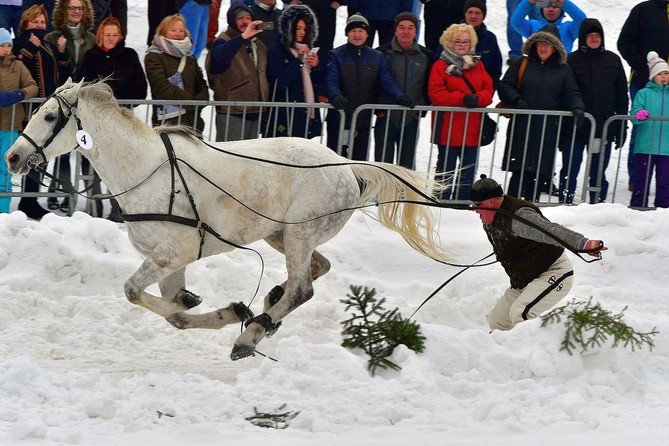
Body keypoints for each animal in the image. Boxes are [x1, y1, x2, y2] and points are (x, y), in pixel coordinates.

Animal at [5, 79, 448, 358]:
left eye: (49, 117)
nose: (12, 157)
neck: (144, 170)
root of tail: (345, 164)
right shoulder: (170, 262)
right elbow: (175, 314)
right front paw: (221, 309)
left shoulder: (174, 253)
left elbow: (133, 292)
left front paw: (231, 315)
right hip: (280, 236)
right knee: (317, 269)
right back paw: (267, 305)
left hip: (300, 235)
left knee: (302, 289)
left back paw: (251, 336)